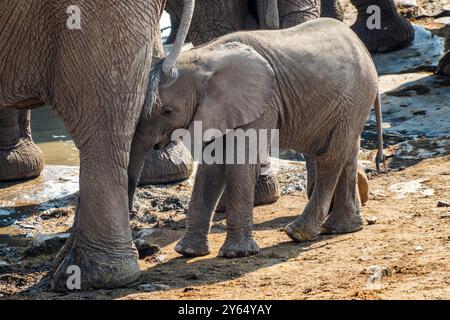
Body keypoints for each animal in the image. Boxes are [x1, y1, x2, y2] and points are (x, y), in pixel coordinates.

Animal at [129, 17, 384, 258]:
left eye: (167, 111)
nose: (140, 245)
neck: (204, 56)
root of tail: (362, 48)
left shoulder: (261, 102)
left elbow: (241, 161)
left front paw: (235, 254)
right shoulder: (219, 108)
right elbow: (212, 164)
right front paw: (188, 252)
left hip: (354, 97)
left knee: (331, 156)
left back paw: (298, 233)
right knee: (347, 153)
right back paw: (343, 228)